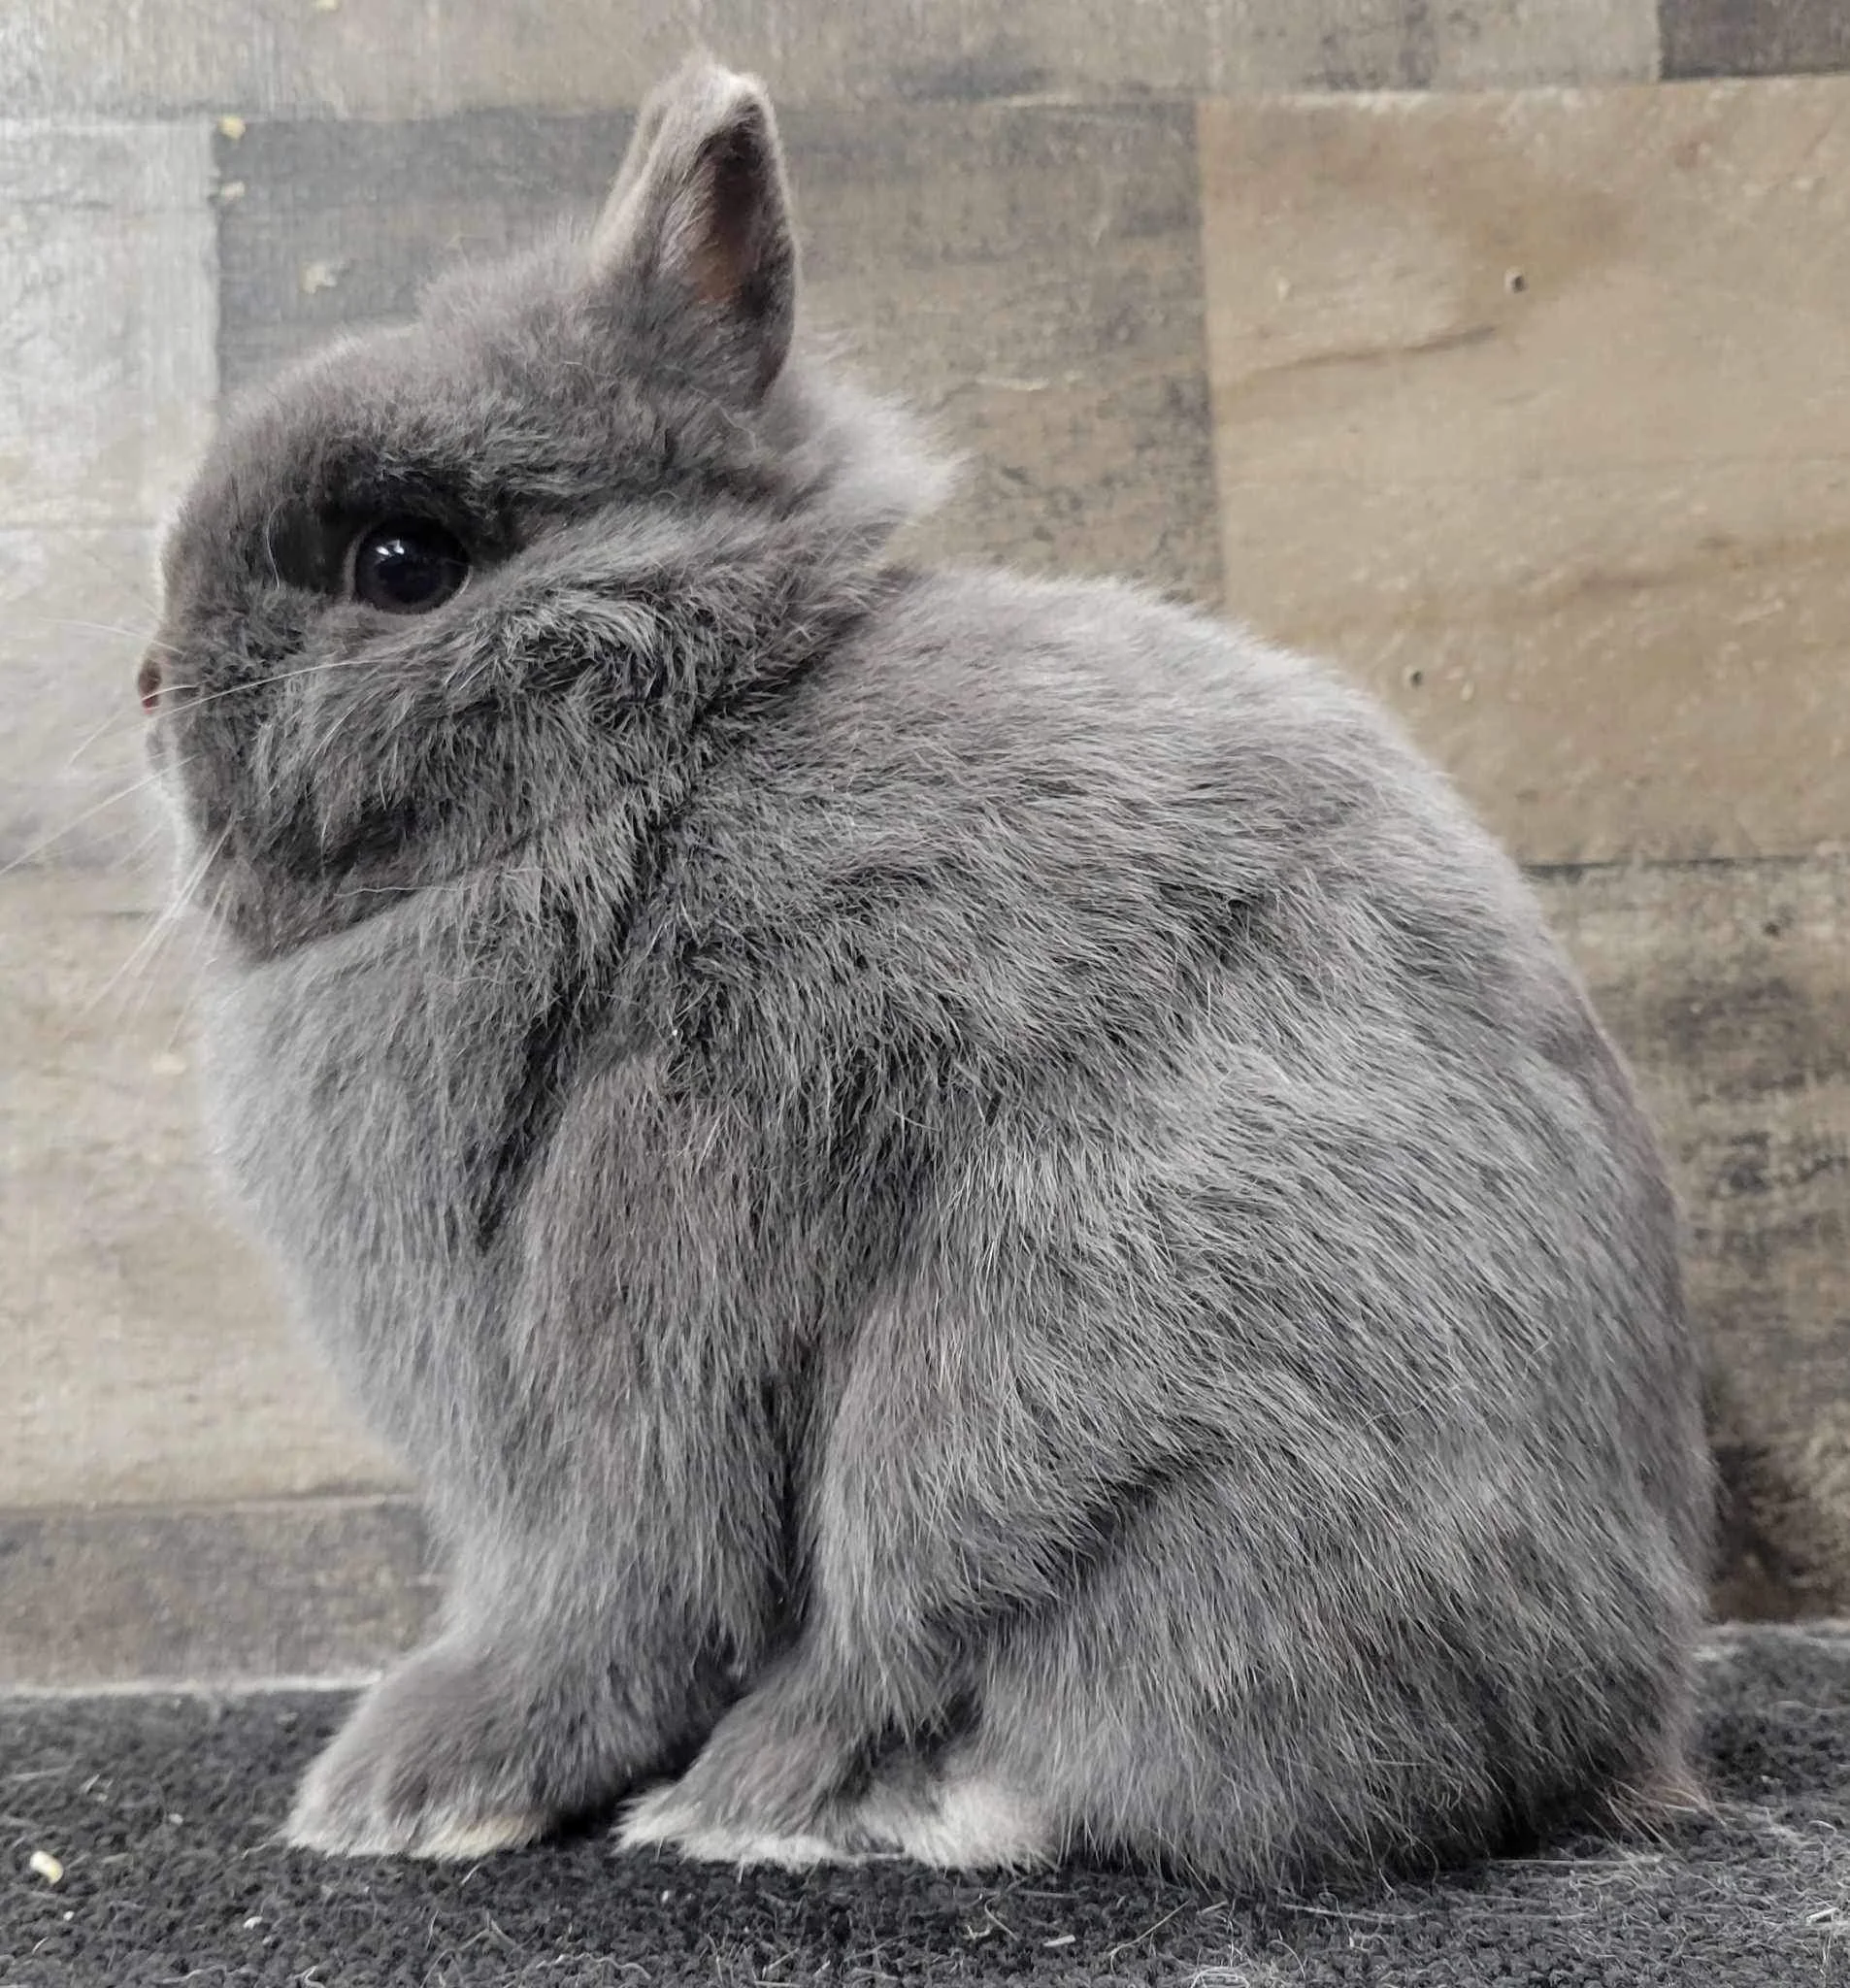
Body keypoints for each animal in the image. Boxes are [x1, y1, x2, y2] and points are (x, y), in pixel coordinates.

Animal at [139, 53, 1712, 1885]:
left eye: (401, 562)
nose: (146, 685)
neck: (644, 760)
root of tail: (1603, 1724)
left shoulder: (612, 1299)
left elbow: (608, 1587)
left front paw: (409, 1792)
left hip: (999, 1392)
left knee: (984, 1667)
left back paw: (786, 1799)